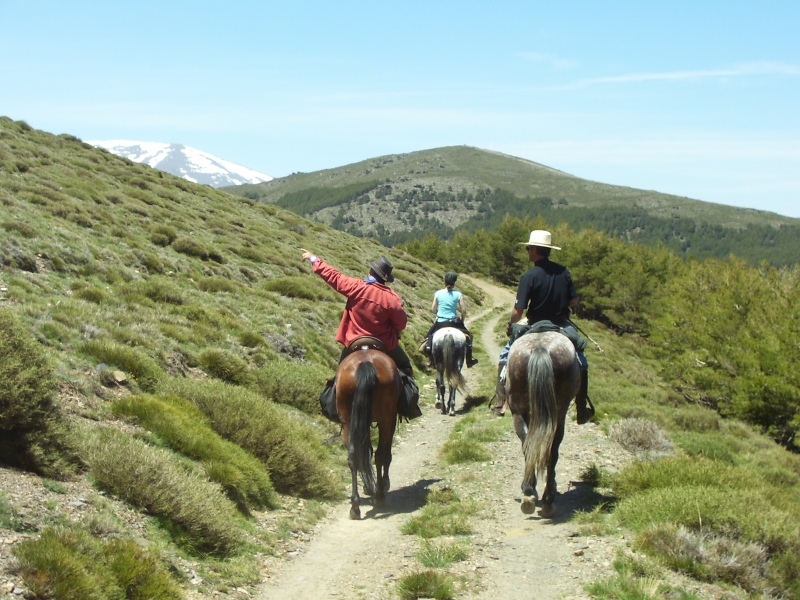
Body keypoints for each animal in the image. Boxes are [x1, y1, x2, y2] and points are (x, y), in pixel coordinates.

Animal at [336, 350, 404, 516]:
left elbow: (365, 452)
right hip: (385, 418)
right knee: (380, 454)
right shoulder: (391, 419)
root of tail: (365, 362)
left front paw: (367, 486)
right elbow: (385, 453)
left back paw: (355, 506)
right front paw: (384, 483)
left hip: (348, 419)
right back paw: (379, 494)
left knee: (354, 455)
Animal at [506, 330, 580, 516]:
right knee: (552, 449)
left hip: (518, 410)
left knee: (528, 443)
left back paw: (529, 494)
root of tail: (540, 348)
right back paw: (547, 498)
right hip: (559, 410)